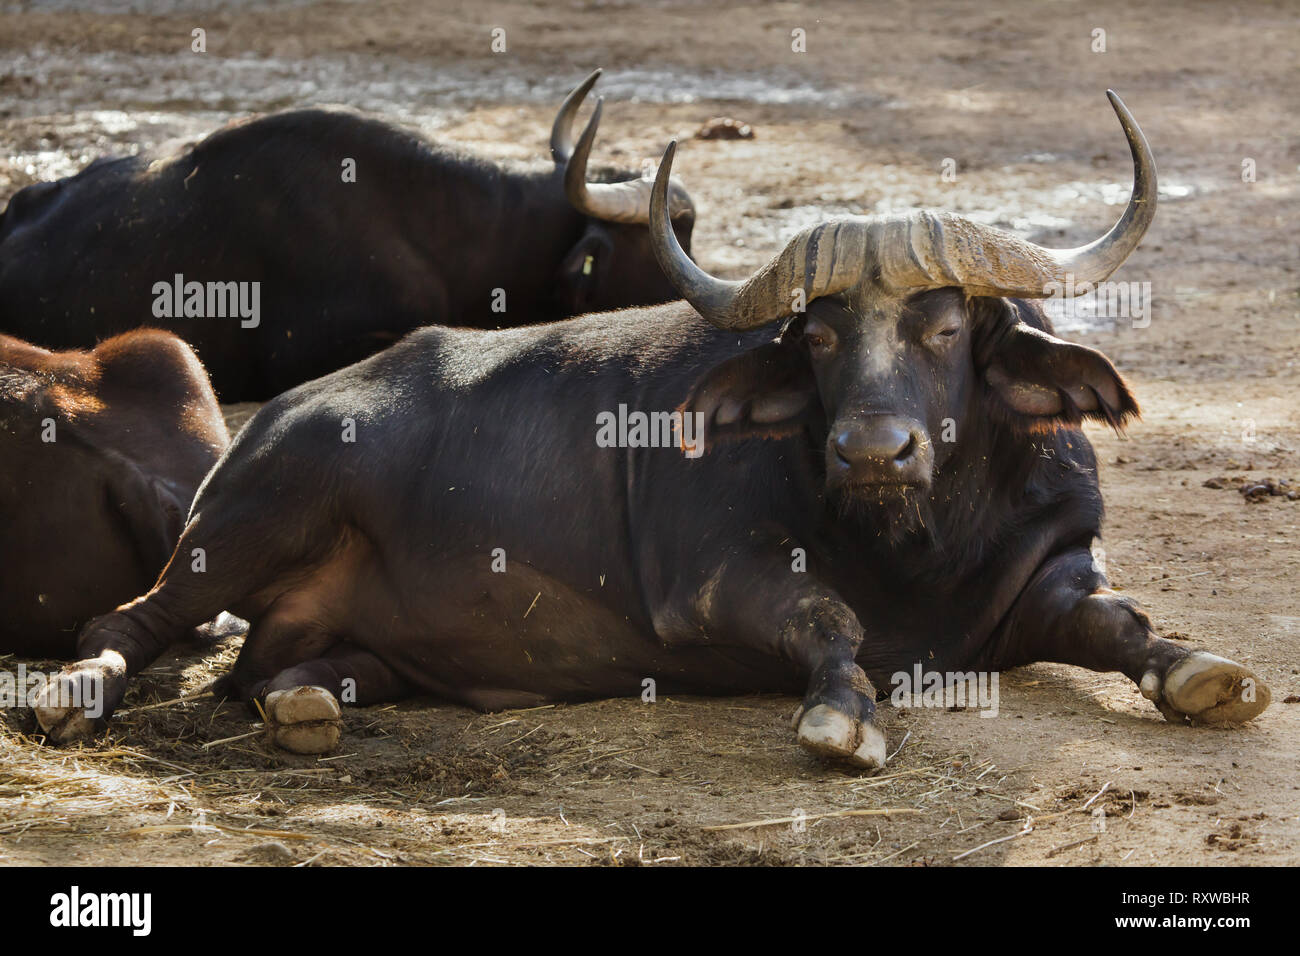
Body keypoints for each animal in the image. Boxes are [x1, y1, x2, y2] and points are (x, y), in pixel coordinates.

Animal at [34, 92, 1270, 761]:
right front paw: (843, 716)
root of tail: (279, 417)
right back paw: (73, 690)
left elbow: (1120, 624)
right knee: (133, 618)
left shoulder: (1051, 564)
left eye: (946, 324)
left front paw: (1202, 671)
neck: (919, 540)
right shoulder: (714, 580)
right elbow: (830, 621)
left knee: (270, 671)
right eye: (819, 334)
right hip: (253, 515)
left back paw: (303, 705)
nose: (872, 450)